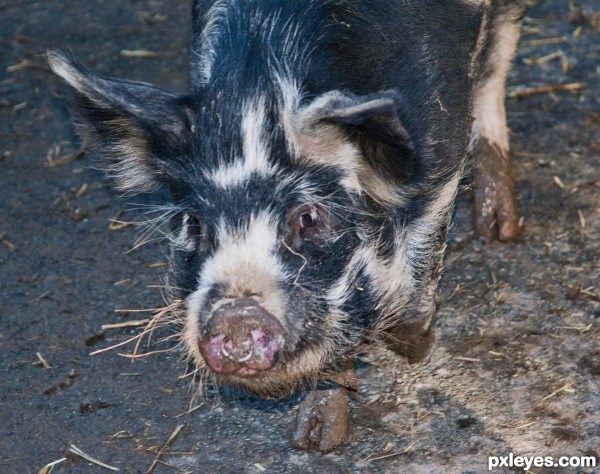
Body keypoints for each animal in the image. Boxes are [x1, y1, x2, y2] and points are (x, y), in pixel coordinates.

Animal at [48, 0, 524, 452]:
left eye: (308, 217)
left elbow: (422, 248)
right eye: (193, 222)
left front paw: (413, 346)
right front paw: (315, 442)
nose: (236, 314)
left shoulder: (439, 144)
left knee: (497, 62)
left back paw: (499, 230)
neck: (260, 88)